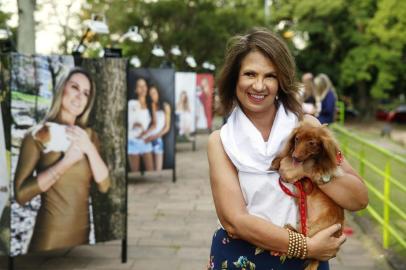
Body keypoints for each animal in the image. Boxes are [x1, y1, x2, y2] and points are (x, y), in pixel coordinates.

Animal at [272, 121, 344, 270]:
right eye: (296, 139)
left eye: (312, 143)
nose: (295, 157)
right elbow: (283, 157)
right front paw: (276, 162)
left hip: (314, 230)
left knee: (307, 241)